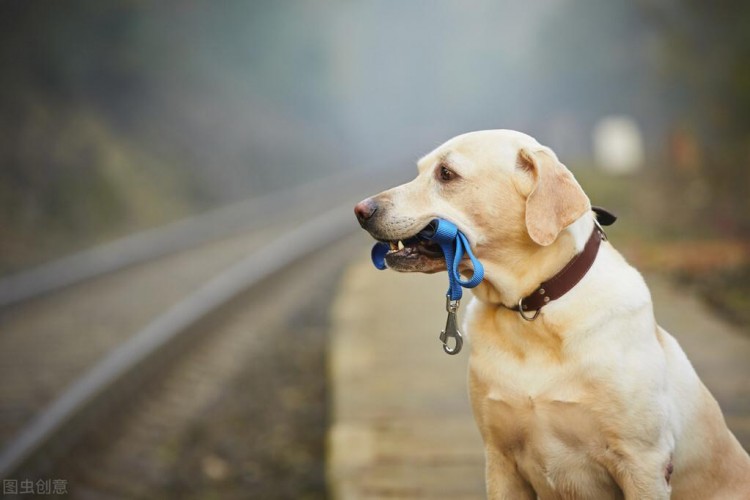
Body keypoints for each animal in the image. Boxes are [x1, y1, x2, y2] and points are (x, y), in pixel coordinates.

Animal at [356, 130, 750, 500]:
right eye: (421, 170)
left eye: (446, 174)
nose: (361, 210)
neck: (531, 311)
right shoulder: (499, 458)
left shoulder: (644, 463)